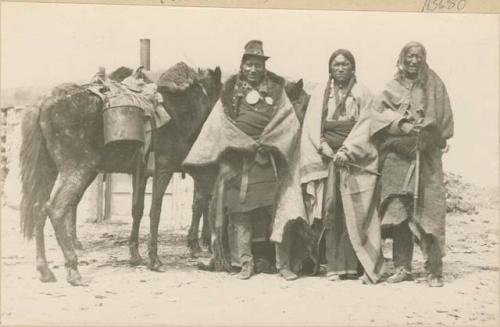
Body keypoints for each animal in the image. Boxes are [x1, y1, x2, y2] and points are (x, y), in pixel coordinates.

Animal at [20, 62, 222, 286]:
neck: (178, 111)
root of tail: (43, 103)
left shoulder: (141, 173)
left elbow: (138, 210)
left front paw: (135, 255)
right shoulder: (164, 169)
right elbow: (156, 211)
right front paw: (154, 260)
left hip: (50, 171)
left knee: (39, 208)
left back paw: (45, 270)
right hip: (79, 169)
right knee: (56, 208)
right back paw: (73, 269)